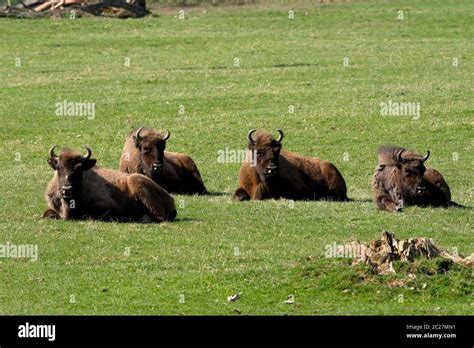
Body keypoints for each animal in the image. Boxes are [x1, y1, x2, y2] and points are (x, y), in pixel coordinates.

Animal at [43, 145, 177, 222]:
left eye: (79, 169)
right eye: (58, 168)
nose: (67, 189)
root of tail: (170, 198)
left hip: (136, 181)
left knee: (159, 216)